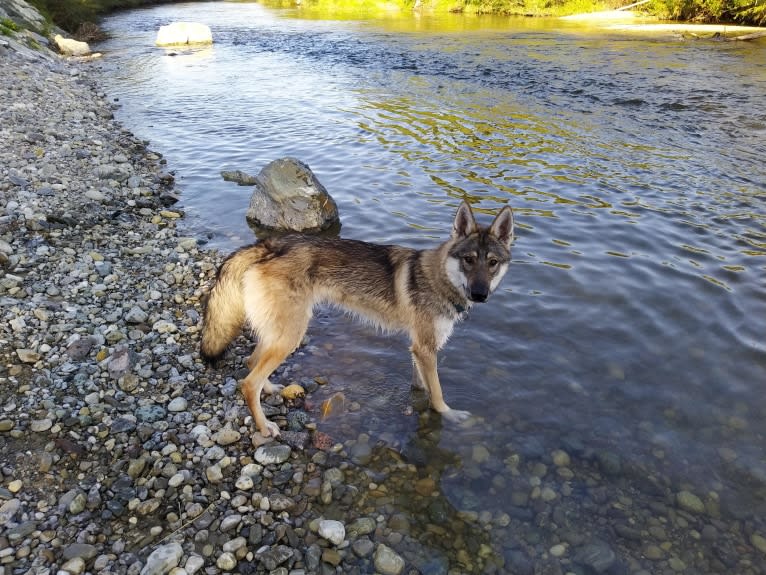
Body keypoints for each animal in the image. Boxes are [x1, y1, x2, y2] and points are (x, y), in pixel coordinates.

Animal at [204, 200, 516, 438]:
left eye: (492, 263)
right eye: (468, 260)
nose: (480, 294)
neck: (438, 279)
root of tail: (268, 245)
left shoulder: (419, 349)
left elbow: (421, 386)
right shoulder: (426, 349)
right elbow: (438, 394)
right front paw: (449, 415)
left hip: (280, 334)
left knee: (252, 363)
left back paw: (270, 389)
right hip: (290, 336)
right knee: (248, 383)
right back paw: (265, 427)